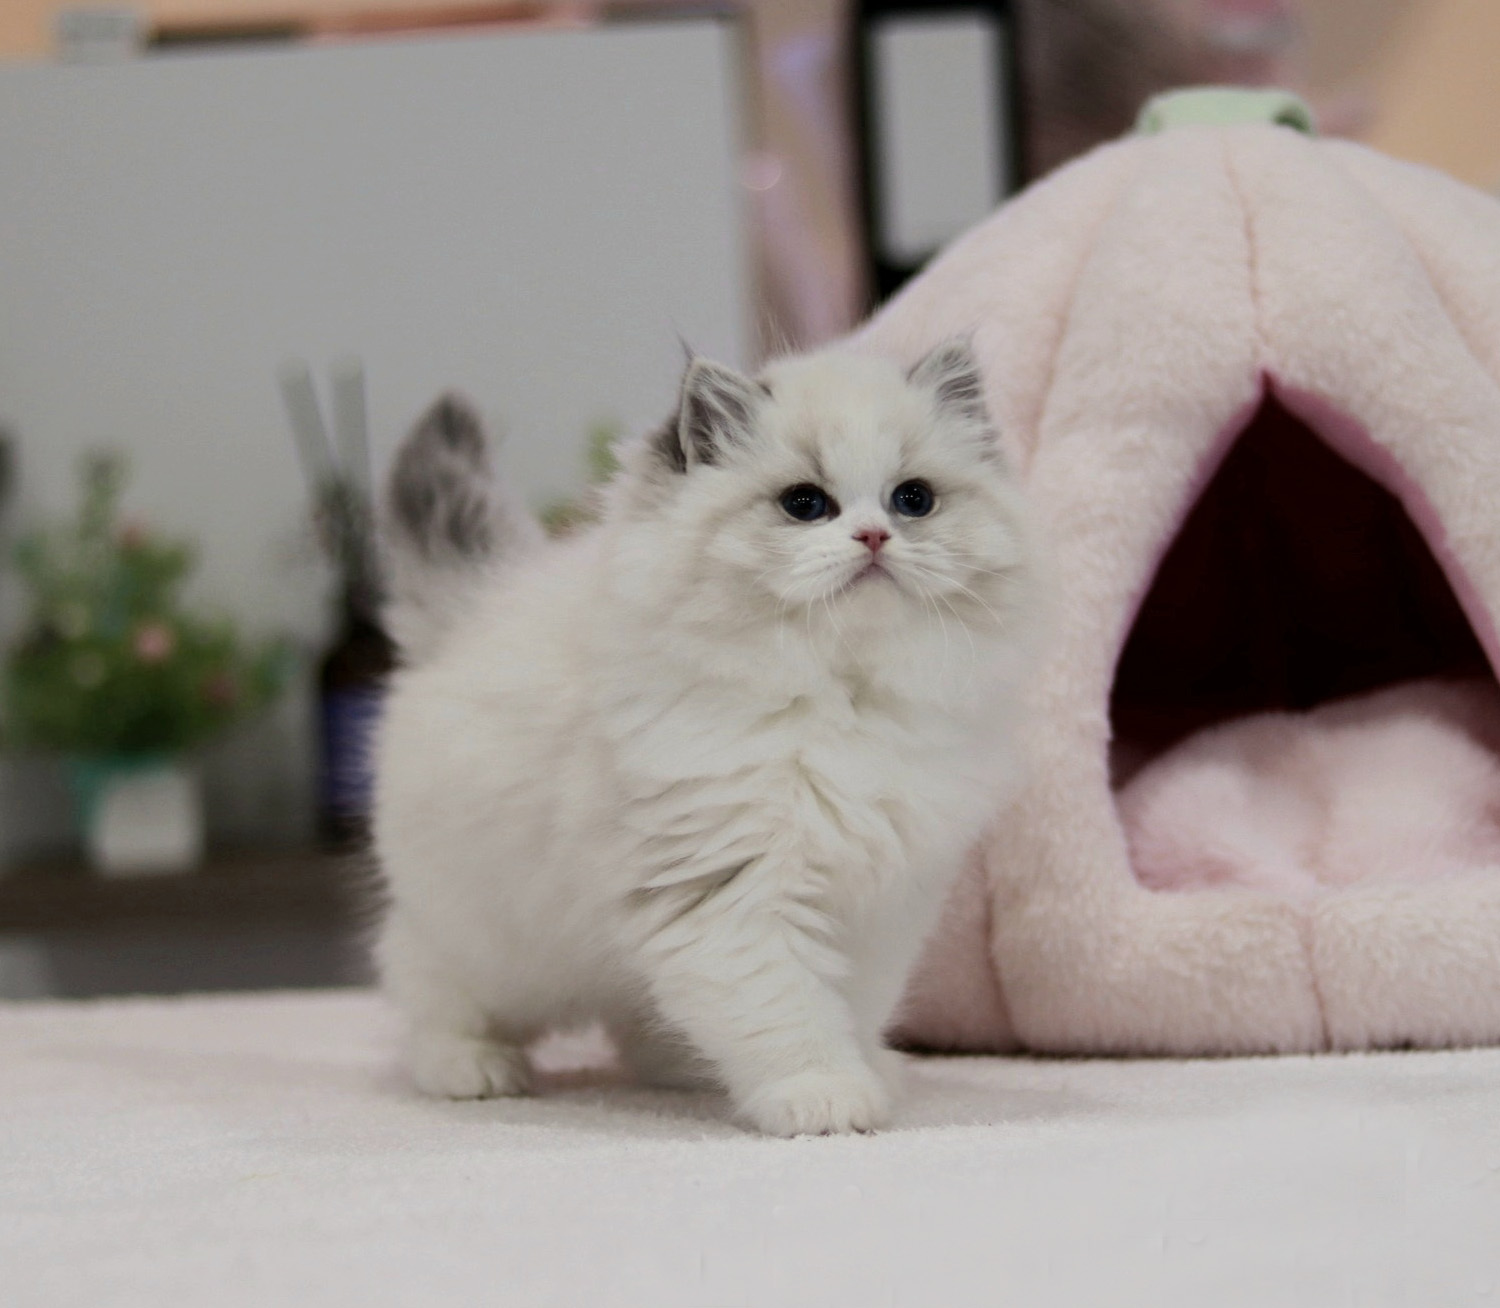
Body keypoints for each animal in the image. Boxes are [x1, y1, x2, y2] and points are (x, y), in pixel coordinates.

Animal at [371, 341, 1041, 1135]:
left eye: (913, 500)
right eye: (805, 504)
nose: (874, 537)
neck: (840, 703)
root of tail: (471, 610)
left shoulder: (880, 902)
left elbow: (852, 1003)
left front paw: (868, 1072)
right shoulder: (730, 895)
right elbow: (787, 1011)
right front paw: (823, 1098)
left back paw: (681, 1069)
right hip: (490, 942)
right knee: (422, 984)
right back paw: (472, 1069)